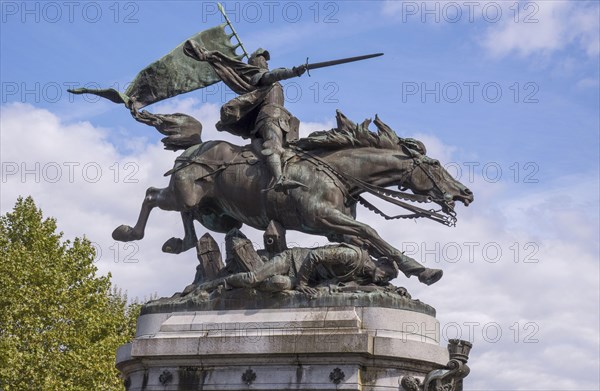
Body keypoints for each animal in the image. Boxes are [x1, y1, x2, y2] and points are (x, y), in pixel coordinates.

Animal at [113, 113, 474, 284]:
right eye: (435, 164)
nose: (466, 193)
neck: (338, 172)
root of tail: (193, 148)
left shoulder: (334, 228)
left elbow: (365, 242)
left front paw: (401, 267)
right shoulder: (323, 217)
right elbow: (371, 233)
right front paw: (421, 270)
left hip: (213, 212)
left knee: (187, 221)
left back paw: (180, 243)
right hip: (187, 195)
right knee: (151, 195)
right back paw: (127, 232)